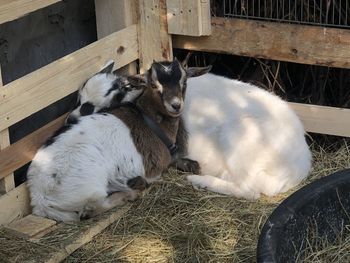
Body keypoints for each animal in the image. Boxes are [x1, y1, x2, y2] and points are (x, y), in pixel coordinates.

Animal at [27, 58, 211, 222]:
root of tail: (40, 200)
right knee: (92, 206)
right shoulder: (155, 168)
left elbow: (192, 164)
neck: (149, 119)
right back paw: (130, 193)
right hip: (92, 184)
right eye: (153, 84)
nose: (175, 105)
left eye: (184, 81)